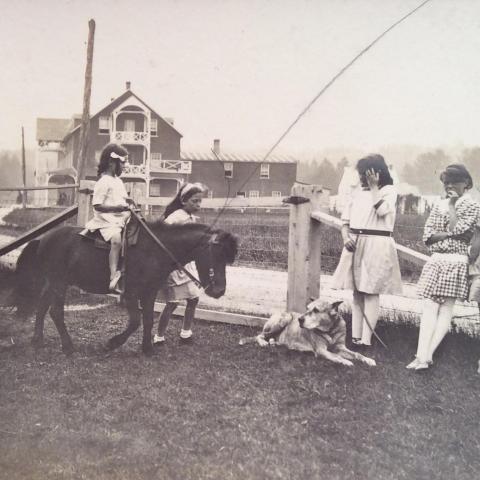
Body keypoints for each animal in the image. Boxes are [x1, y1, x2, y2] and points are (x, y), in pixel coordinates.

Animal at [14, 218, 239, 356]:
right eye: (216, 254)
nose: (219, 290)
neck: (155, 249)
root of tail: (42, 238)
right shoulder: (131, 293)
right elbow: (135, 321)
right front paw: (112, 343)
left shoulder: (149, 293)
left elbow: (148, 320)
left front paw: (148, 349)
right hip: (59, 283)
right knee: (55, 312)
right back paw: (68, 346)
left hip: (54, 282)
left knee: (42, 307)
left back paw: (37, 340)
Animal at [238, 300, 376, 368]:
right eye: (307, 308)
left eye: (316, 310)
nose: (300, 319)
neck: (330, 330)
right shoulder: (321, 350)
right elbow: (336, 356)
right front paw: (346, 362)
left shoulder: (341, 347)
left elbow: (357, 354)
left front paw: (368, 360)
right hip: (285, 318)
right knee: (260, 335)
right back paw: (263, 343)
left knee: (271, 338)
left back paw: (275, 343)